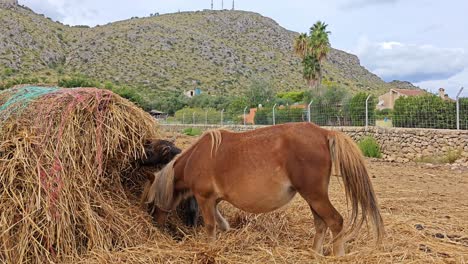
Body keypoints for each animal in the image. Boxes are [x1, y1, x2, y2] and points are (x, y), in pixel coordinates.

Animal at [143, 123, 384, 256]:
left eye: (151, 204)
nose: (156, 225)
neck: (195, 158)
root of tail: (325, 133)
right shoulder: (215, 201)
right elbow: (221, 223)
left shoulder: (205, 198)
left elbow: (210, 226)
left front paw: (209, 247)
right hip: (314, 198)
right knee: (321, 224)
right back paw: (315, 253)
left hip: (315, 196)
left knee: (335, 222)